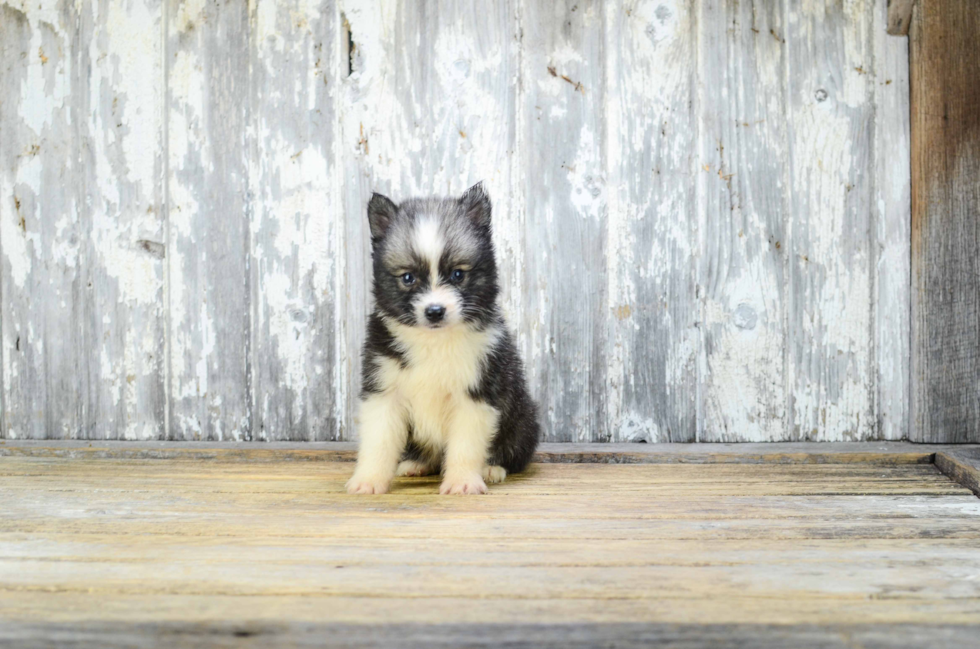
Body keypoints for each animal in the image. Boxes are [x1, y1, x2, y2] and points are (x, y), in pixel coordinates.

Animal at [346, 180, 544, 494]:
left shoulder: (475, 393)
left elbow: (466, 445)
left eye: (457, 274)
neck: (433, 341)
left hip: (524, 419)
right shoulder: (384, 390)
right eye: (408, 278)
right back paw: (417, 463)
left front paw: (463, 481)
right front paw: (369, 480)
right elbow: (379, 441)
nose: (435, 311)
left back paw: (492, 468)